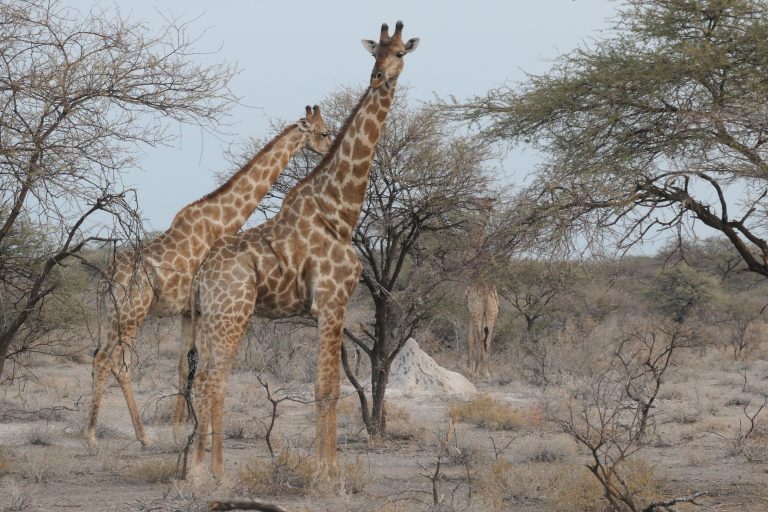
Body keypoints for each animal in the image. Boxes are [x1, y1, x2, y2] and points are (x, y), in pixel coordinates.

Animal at [85, 106, 332, 449]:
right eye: (324, 132)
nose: (329, 149)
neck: (221, 220)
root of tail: (105, 280)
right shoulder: (205, 307)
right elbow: (198, 365)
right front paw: (194, 430)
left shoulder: (191, 311)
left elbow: (183, 366)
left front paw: (180, 429)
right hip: (132, 314)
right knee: (111, 362)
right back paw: (102, 436)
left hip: (111, 316)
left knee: (107, 360)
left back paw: (132, 435)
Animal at [188, 21, 419, 479]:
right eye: (375, 53)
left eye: (400, 53)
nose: (378, 77)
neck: (340, 210)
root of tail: (202, 274)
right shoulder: (332, 302)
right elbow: (326, 386)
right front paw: (326, 472)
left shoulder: (326, 307)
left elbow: (328, 386)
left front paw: (326, 466)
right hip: (232, 315)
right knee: (213, 382)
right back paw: (214, 475)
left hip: (211, 318)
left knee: (204, 380)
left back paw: (195, 471)